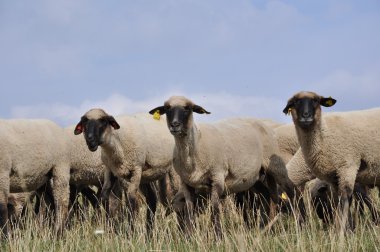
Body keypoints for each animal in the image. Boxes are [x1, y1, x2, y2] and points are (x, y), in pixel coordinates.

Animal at [150, 95, 304, 237]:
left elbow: (215, 209)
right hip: (253, 177)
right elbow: (189, 210)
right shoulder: (186, 183)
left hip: (275, 166)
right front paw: (189, 237)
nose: (175, 125)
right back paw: (263, 228)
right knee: (265, 195)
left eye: (188, 108)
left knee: (292, 190)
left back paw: (303, 223)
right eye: (167, 109)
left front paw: (218, 236)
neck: (196, 144)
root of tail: (261, 122)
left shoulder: (217, 177)